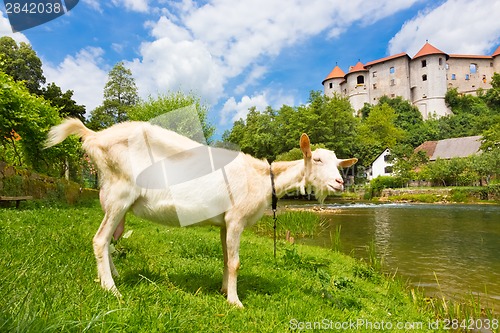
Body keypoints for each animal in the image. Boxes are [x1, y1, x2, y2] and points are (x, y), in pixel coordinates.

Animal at [45, 118, 358, 308]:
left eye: (338, 163)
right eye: (316, 159)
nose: (339, 182)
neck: (261, 178)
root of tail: (94, 136)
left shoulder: (224, 223)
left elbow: (225, 258)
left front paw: (224, 291)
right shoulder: (236, 219)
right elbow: (235, 262)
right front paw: (235, 302)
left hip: (115, 201)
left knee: (110, 240)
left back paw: (111, 277)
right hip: (118, 193)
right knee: (100, 240)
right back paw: (111, 290)